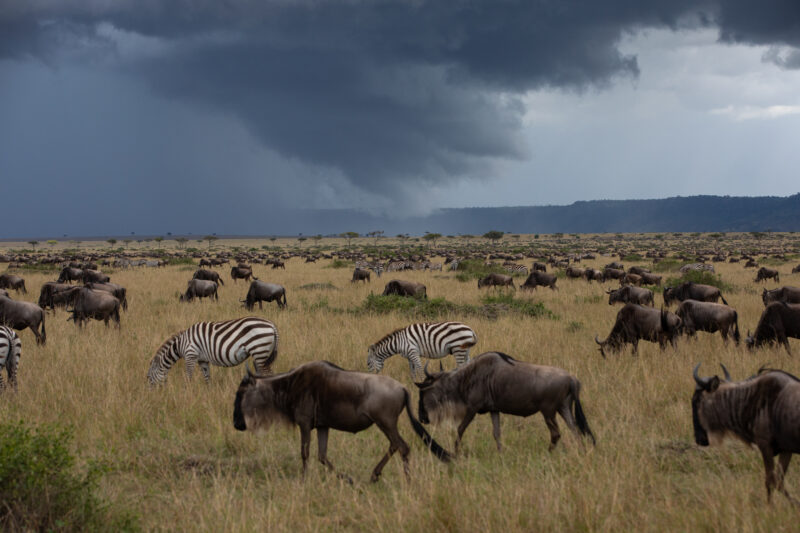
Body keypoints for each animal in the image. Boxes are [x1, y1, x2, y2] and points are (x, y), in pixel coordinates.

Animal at [147, 317, 278, 385]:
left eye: (148, 378)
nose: (150, 395)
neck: (180, 345)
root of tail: (272, 325)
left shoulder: (190, 355)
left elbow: (188, 376)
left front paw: (187, 393)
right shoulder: (202, 360)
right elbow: (207, 378)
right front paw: (208, 394)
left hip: (259, 350)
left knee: (268, 374)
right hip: (260, 354)